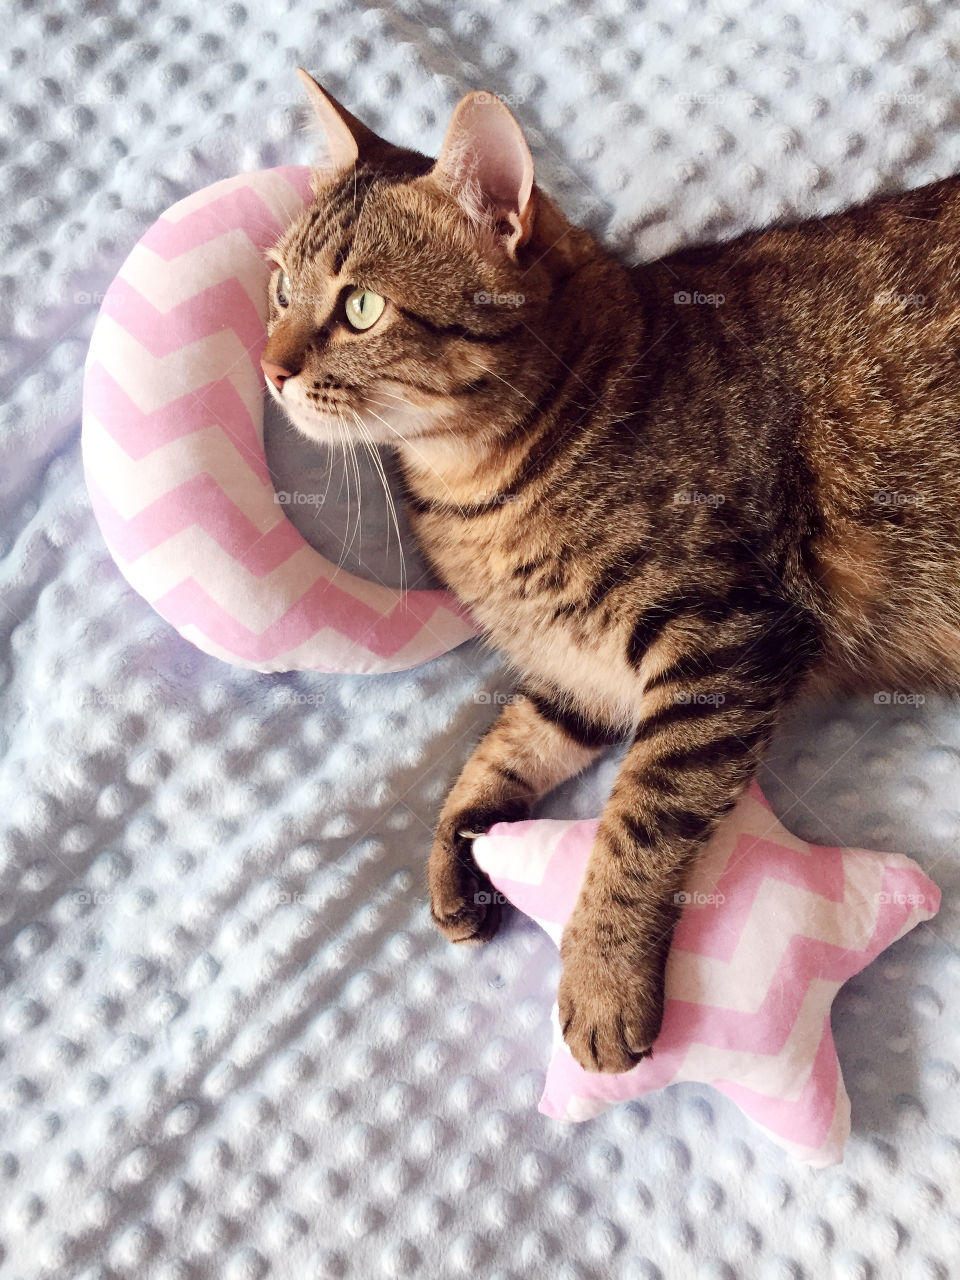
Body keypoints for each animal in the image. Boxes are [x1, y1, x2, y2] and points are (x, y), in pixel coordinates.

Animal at [264, 67, 960, 1070]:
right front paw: (459, 850)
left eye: (361, 307)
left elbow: (640, 815)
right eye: (280, 286)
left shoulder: (723, 640)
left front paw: (600, 976)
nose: (270, 366)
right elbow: (505, 745)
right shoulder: (577, 672)